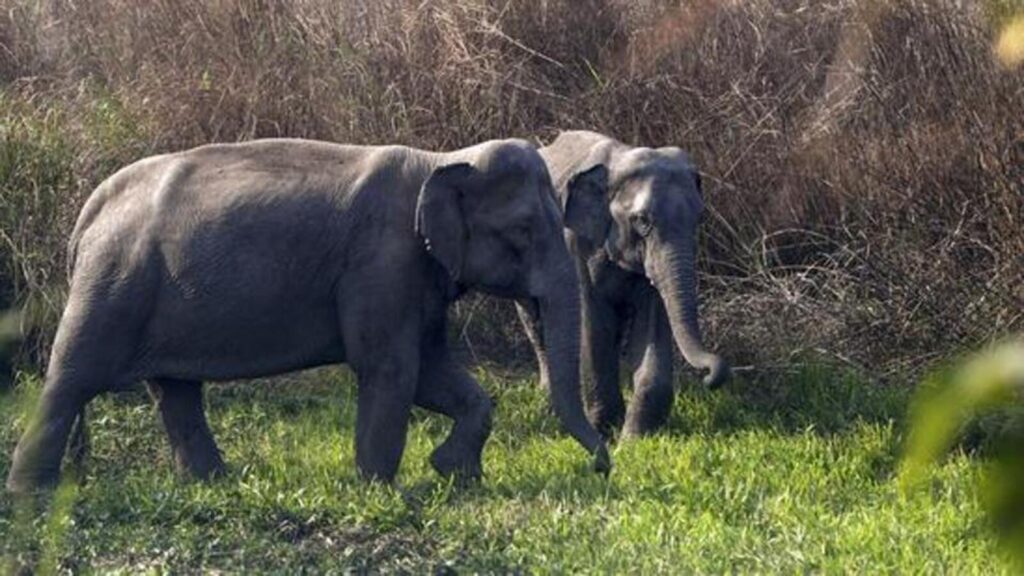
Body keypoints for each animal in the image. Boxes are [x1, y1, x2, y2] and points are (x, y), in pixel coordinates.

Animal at [6, 138, 610, 493]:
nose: (603, 467)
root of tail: (91, 208)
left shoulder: (418, 275)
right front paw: (380, 491)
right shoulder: (382, 262)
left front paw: (456, 477)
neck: (440, 160)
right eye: (524, 231)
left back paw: (214, 483)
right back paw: (29, 495)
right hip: (114, 282)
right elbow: (391, 369)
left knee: (174, 390)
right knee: (71, 377)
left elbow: (435, 372)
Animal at [517, 131, 729, 439]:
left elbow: (652, 326)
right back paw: (549, 403)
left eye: (698, 218)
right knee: (536, 322)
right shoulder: (575, 243)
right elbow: (594, 325)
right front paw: (604, 430)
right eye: (642, 221)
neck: (619, 162)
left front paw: (634, 438)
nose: (710, 380)